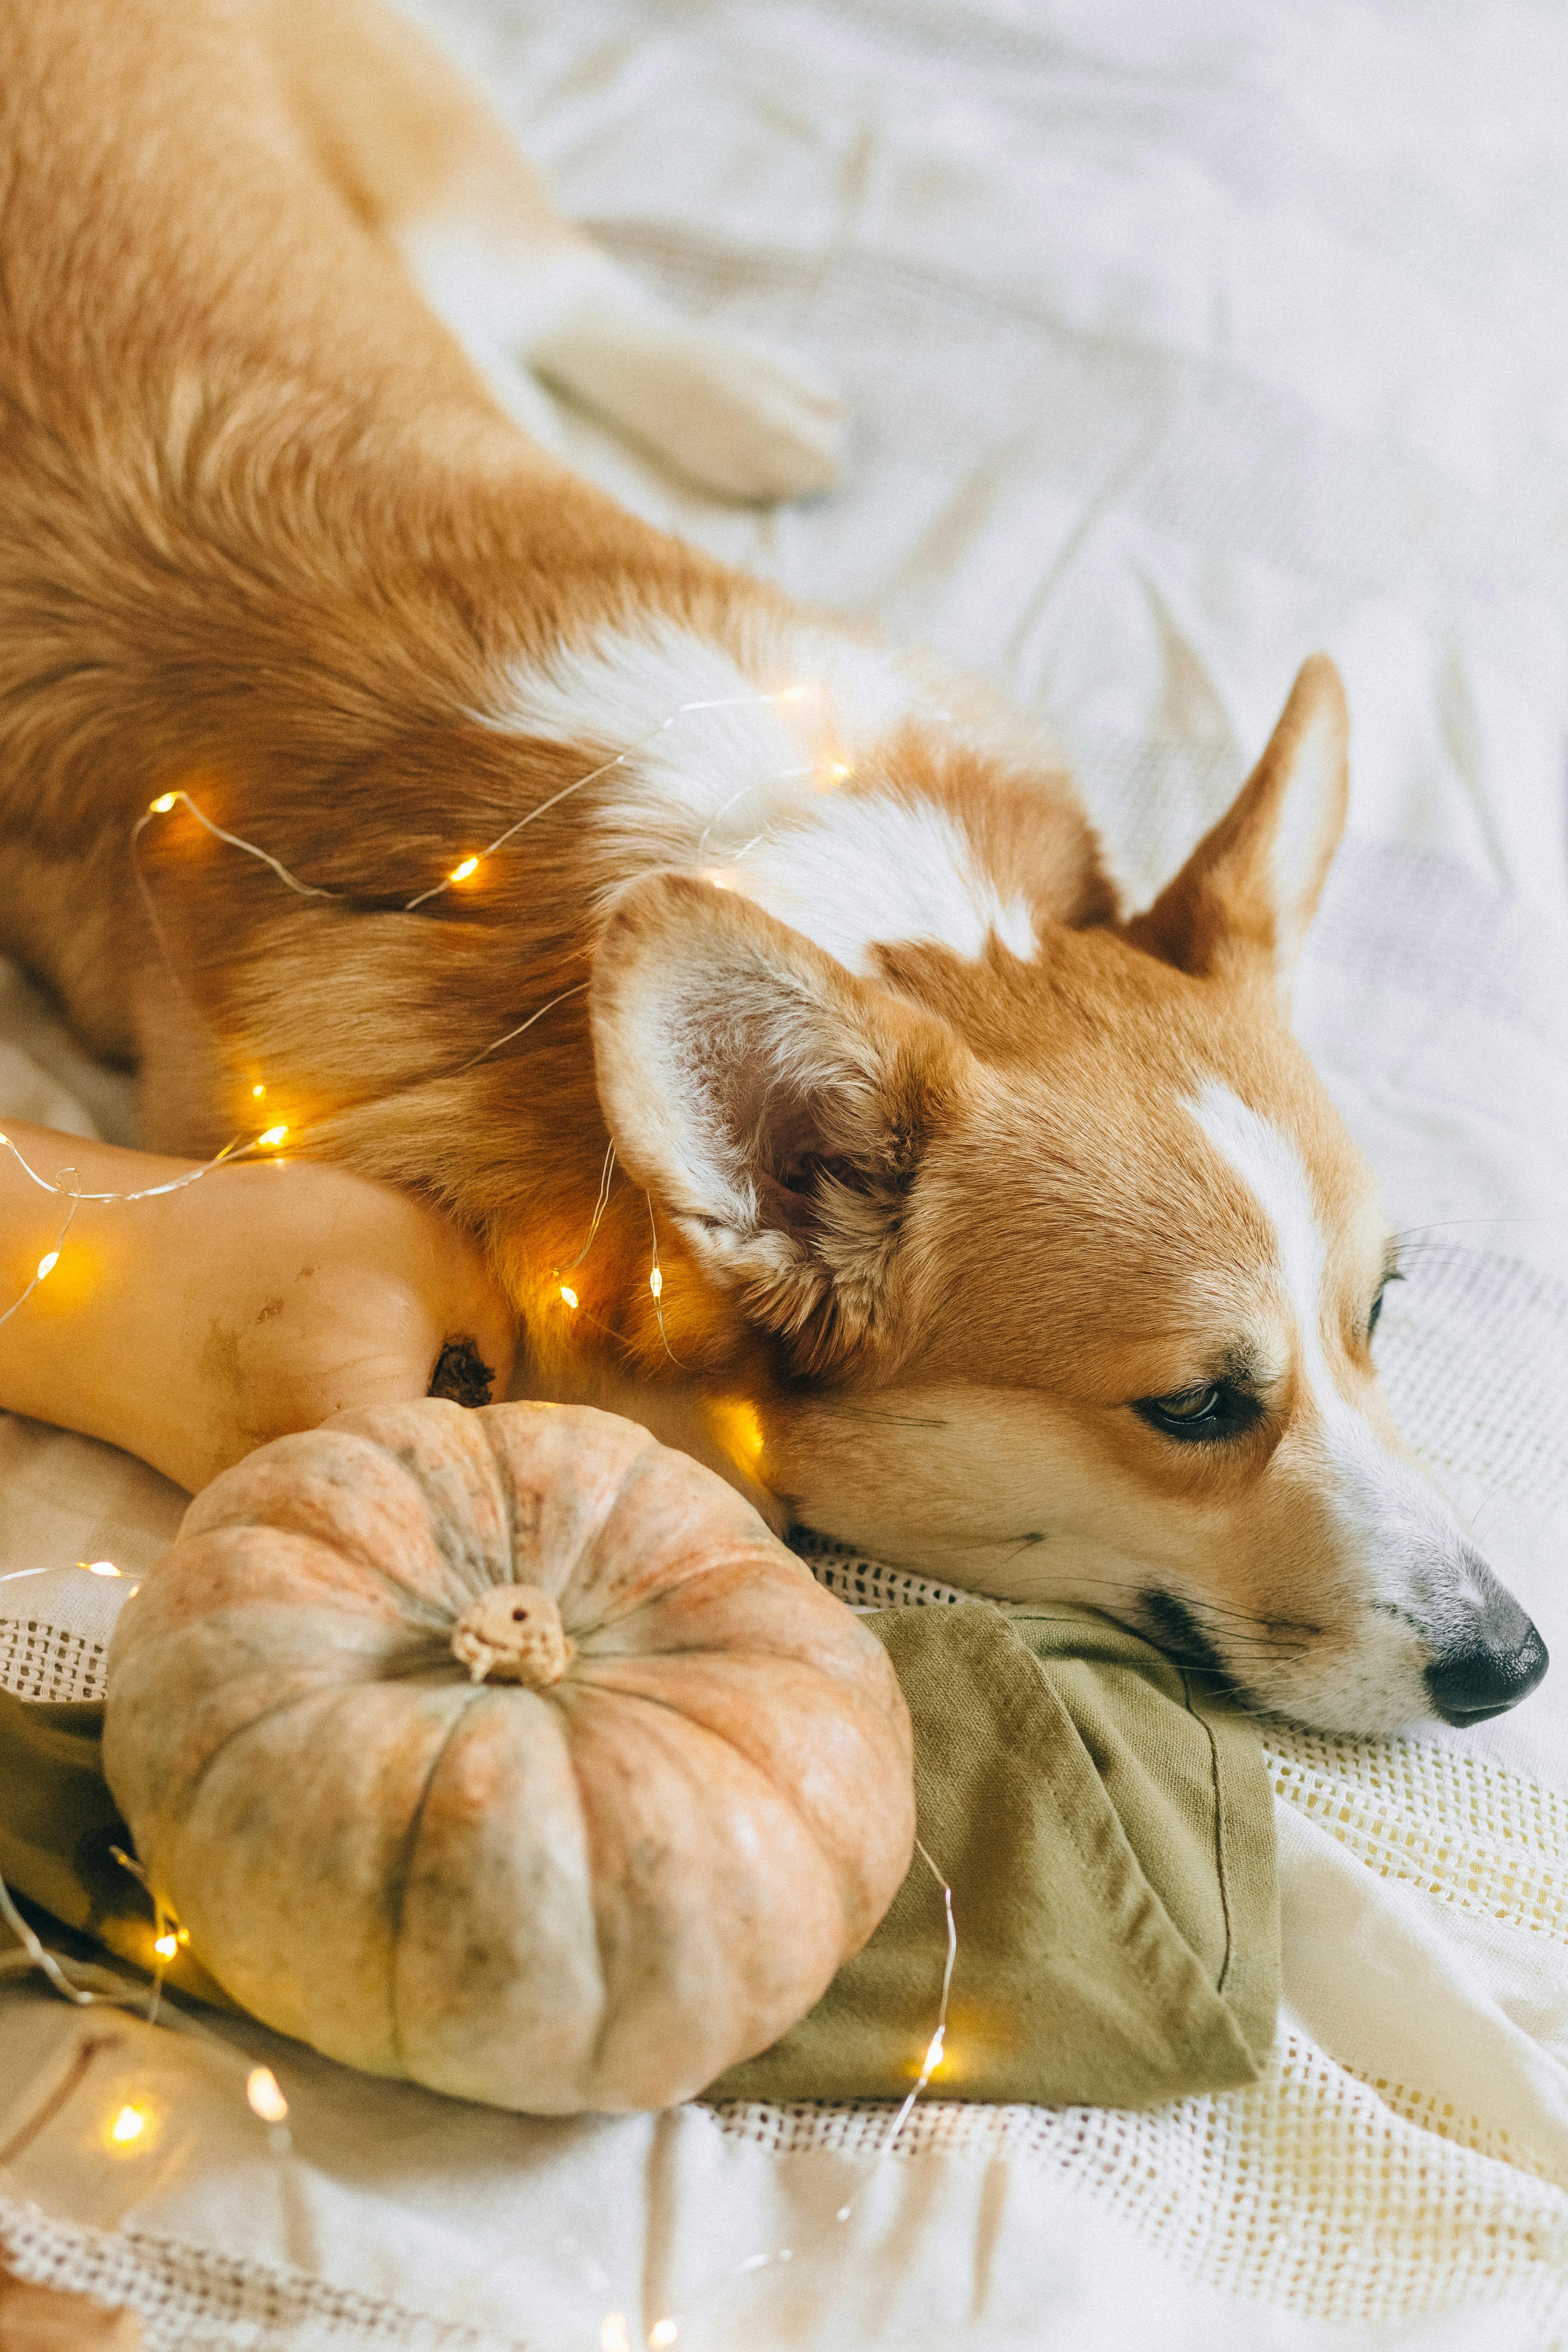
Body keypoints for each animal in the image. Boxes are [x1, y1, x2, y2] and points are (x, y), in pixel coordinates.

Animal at [0, 0, 1542, 1731]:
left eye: (1377, 1313)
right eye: (1198, 1407)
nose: (1517, 1662)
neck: (807, 869)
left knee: (544, 280)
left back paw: (738, 403)